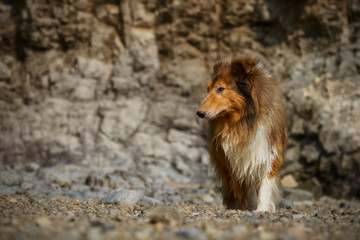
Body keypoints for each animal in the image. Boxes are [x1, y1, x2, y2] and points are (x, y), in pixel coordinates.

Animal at [197, 57, 286, 212]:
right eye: (208, 89)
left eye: (220, 89)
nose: (199, 113)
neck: (243, 121)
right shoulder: (233, 159)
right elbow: (241, 188)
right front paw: (245, 208)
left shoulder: (269, 153)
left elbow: (265, 185)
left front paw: (262, 209)